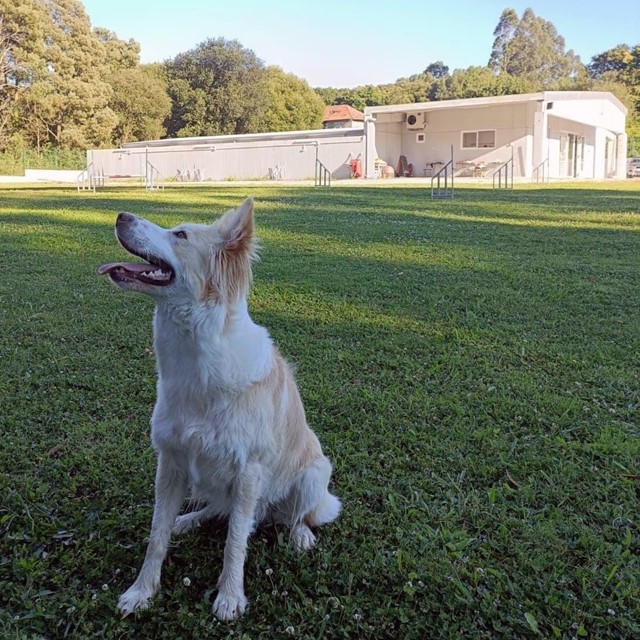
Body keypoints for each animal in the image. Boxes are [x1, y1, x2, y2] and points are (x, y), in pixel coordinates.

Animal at [97, 199, 340, 620]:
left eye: (180, 234)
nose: (120, 216)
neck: (196, 359)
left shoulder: (248, 472)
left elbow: (234, 543)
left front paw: (229, 596)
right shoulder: (171, 462)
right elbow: (156, 536)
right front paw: (142, 591)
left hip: (313, 474)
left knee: (294, 516)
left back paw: (300, 535)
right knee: (221, 511)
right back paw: (190, 519)